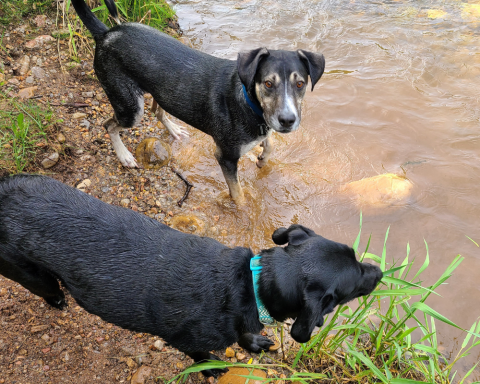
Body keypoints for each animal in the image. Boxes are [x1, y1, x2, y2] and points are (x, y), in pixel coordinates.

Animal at [0, 176, 382, 376]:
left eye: (356, 254)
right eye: (352, 284)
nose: (380, 271)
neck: (251, 285)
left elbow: (245, 335)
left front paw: (255, 343)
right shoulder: (185, 340)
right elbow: (201, 355)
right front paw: (212, 368)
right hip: (28, 272)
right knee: (48, 288)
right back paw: (58, 300)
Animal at [70, 0, 326, 204]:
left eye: (300, 84)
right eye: (268, 84)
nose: (287, 120)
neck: (248, 101)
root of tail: (105, 34)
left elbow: (269, 144)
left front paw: (263, 158)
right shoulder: (226, 158)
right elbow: (239, 196)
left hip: (158, 91)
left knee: (157, 111)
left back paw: (174, 130)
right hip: (130, 107)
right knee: (109, 125)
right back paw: (124, 156)